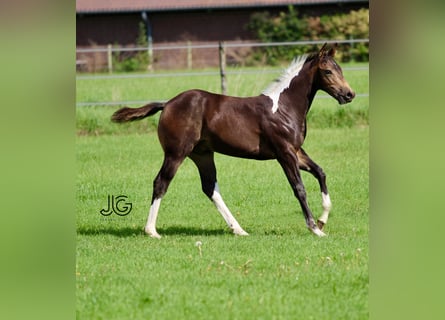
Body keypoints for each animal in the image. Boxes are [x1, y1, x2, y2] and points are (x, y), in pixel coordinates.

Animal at [111, 43, 354, 238]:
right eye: (327, 71)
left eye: (340, 69)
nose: (349, 94)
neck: (283, 108)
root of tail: (168, 104)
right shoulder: (284, 153)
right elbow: (299, 188)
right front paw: (314, 228)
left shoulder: (296, 151)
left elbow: (321, 172)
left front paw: (322, 221)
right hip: (176, 153)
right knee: (161, 182)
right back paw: (152, 231)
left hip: (202, 154)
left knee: (210, 187)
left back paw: (238, 229)